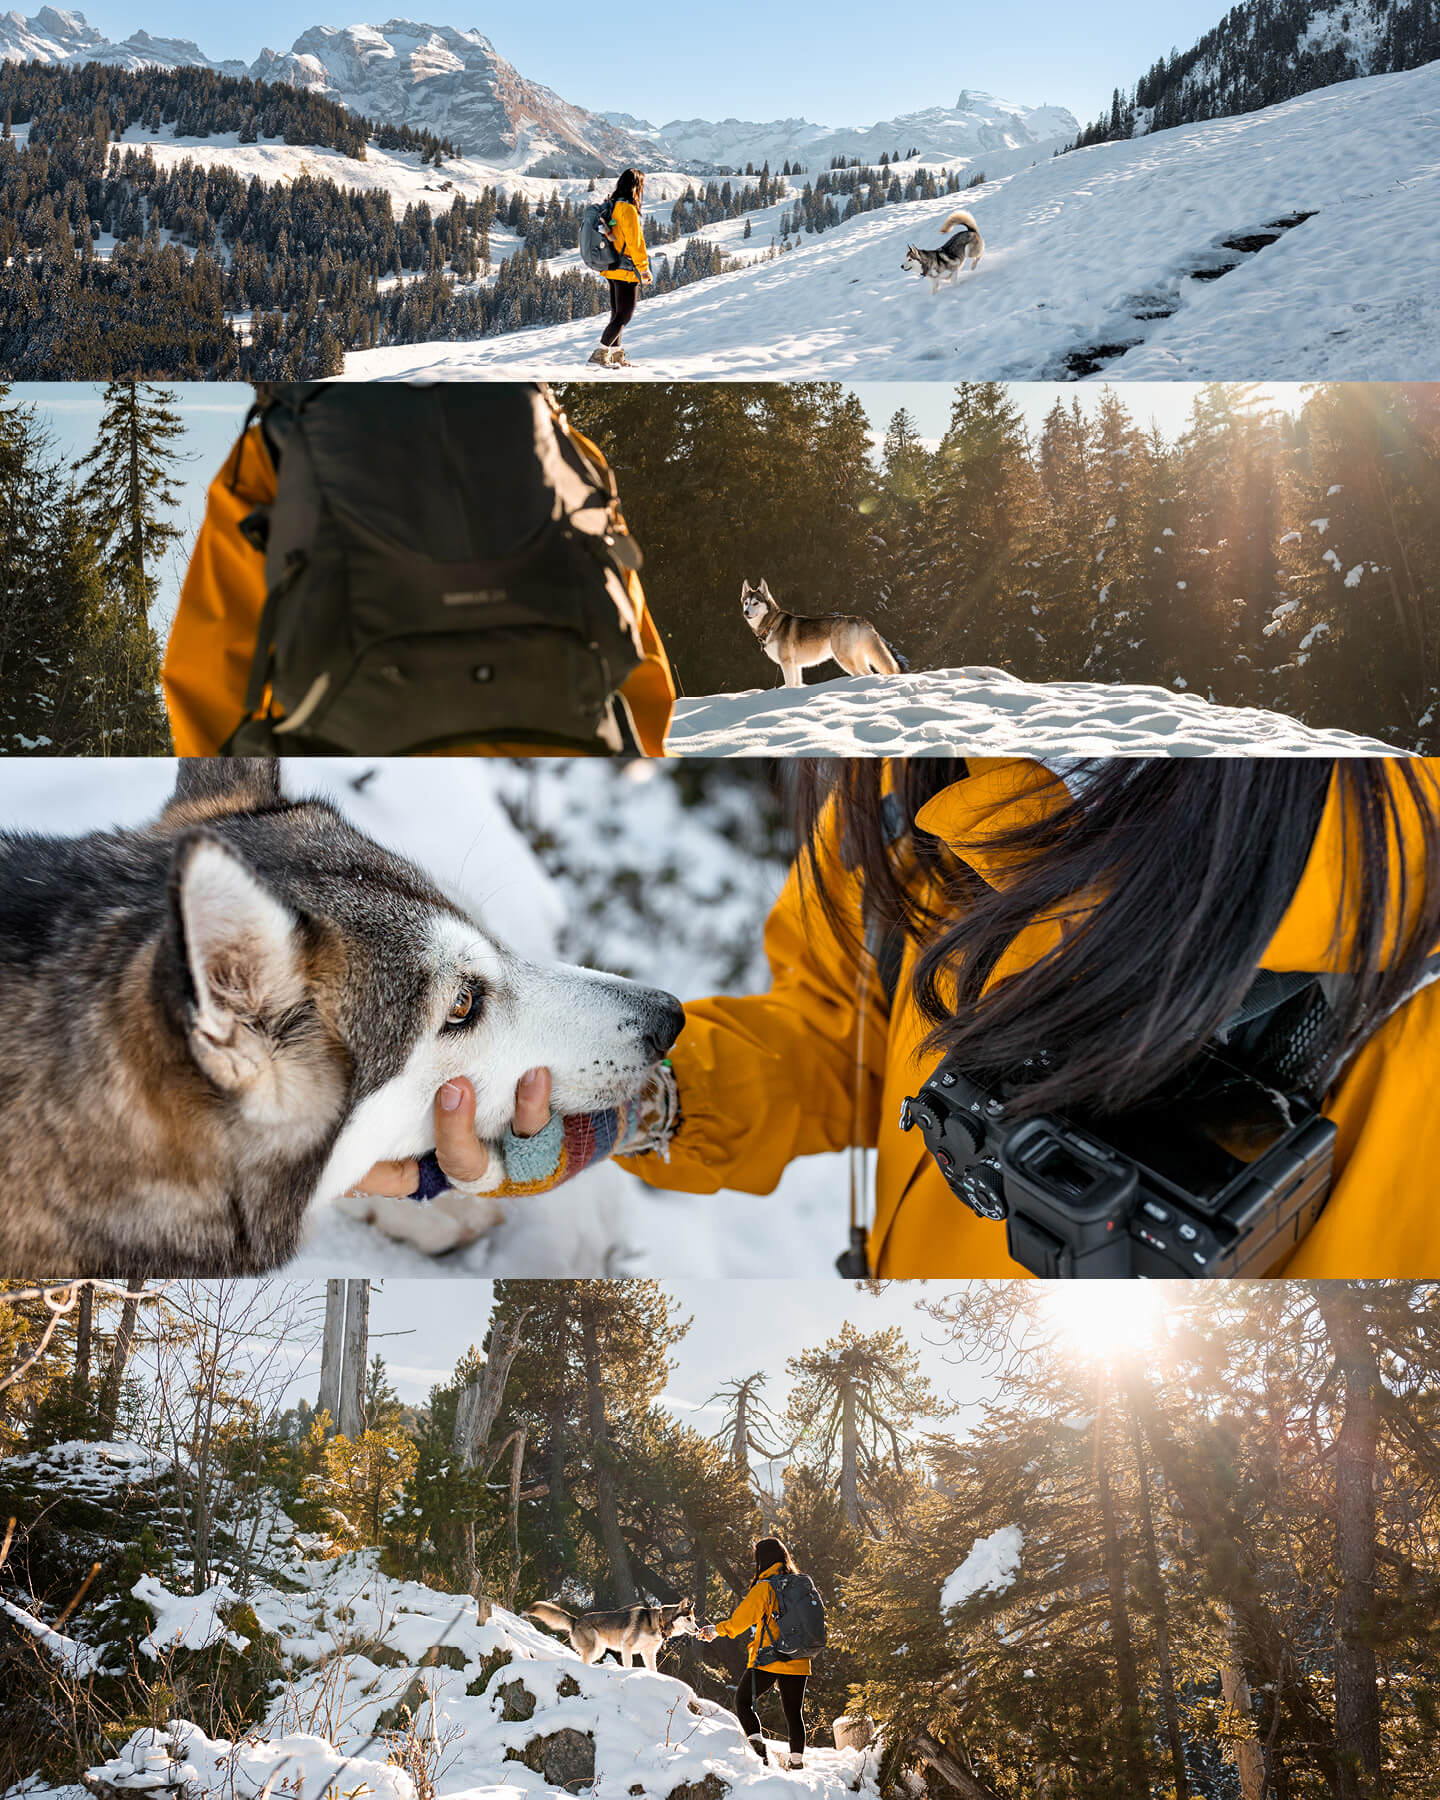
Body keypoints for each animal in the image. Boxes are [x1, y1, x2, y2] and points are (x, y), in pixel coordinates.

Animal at [525, 1605, 702, 1670]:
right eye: (688, 1618)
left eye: (694, 1619)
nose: (698, 1630)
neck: (658, 1622)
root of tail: (576, 1620)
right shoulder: (627, 1647)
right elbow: (628, 1665)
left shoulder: (648, 1654)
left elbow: (653, 1670)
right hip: (593, 1649)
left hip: (599, 1650)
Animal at [738, 579, 907, 691]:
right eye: (746, 602)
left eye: (755, 603)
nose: (746, 612)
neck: (771, 623)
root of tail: (858, 619)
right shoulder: (796, 666)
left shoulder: (786, 664)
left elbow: (789, 685)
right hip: (858, 658)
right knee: (869, 673)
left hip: (843, 658)